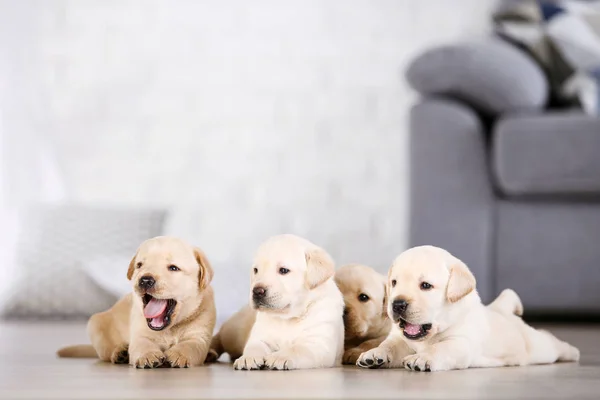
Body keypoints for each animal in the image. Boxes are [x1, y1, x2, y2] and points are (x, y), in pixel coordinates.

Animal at [57, 234, 217, 368]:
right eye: (139, 265)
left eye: (173, 268)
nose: (145, 280)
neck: (170, 329)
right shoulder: (139, 333)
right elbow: (142, 344)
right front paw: (148, 355)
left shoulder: (199, 337)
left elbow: (190, 345)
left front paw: (178, 354)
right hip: (95, 325)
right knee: (106, 352)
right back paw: (120, 353)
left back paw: (211, 353)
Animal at [210, 233, 342, 370]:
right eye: (256, 270)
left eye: (283, 270)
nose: (257, 291)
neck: (286, 318)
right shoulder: (259, 336)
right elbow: (254, 346)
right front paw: (248, 357)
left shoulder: (318, 345)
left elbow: (297, 349)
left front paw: (280, 356)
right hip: (234, 331)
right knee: (220, 337)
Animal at [358, 245, 580, 374]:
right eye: (394, 283)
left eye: (426, 286)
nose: (397, 304)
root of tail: (502, 310)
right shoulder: (400, 338)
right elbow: (389, 345)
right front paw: (374, 354)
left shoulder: (461, 343)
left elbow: (440, 348)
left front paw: (423, 357)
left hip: (541, 348)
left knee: (553, 343)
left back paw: (573, 353)